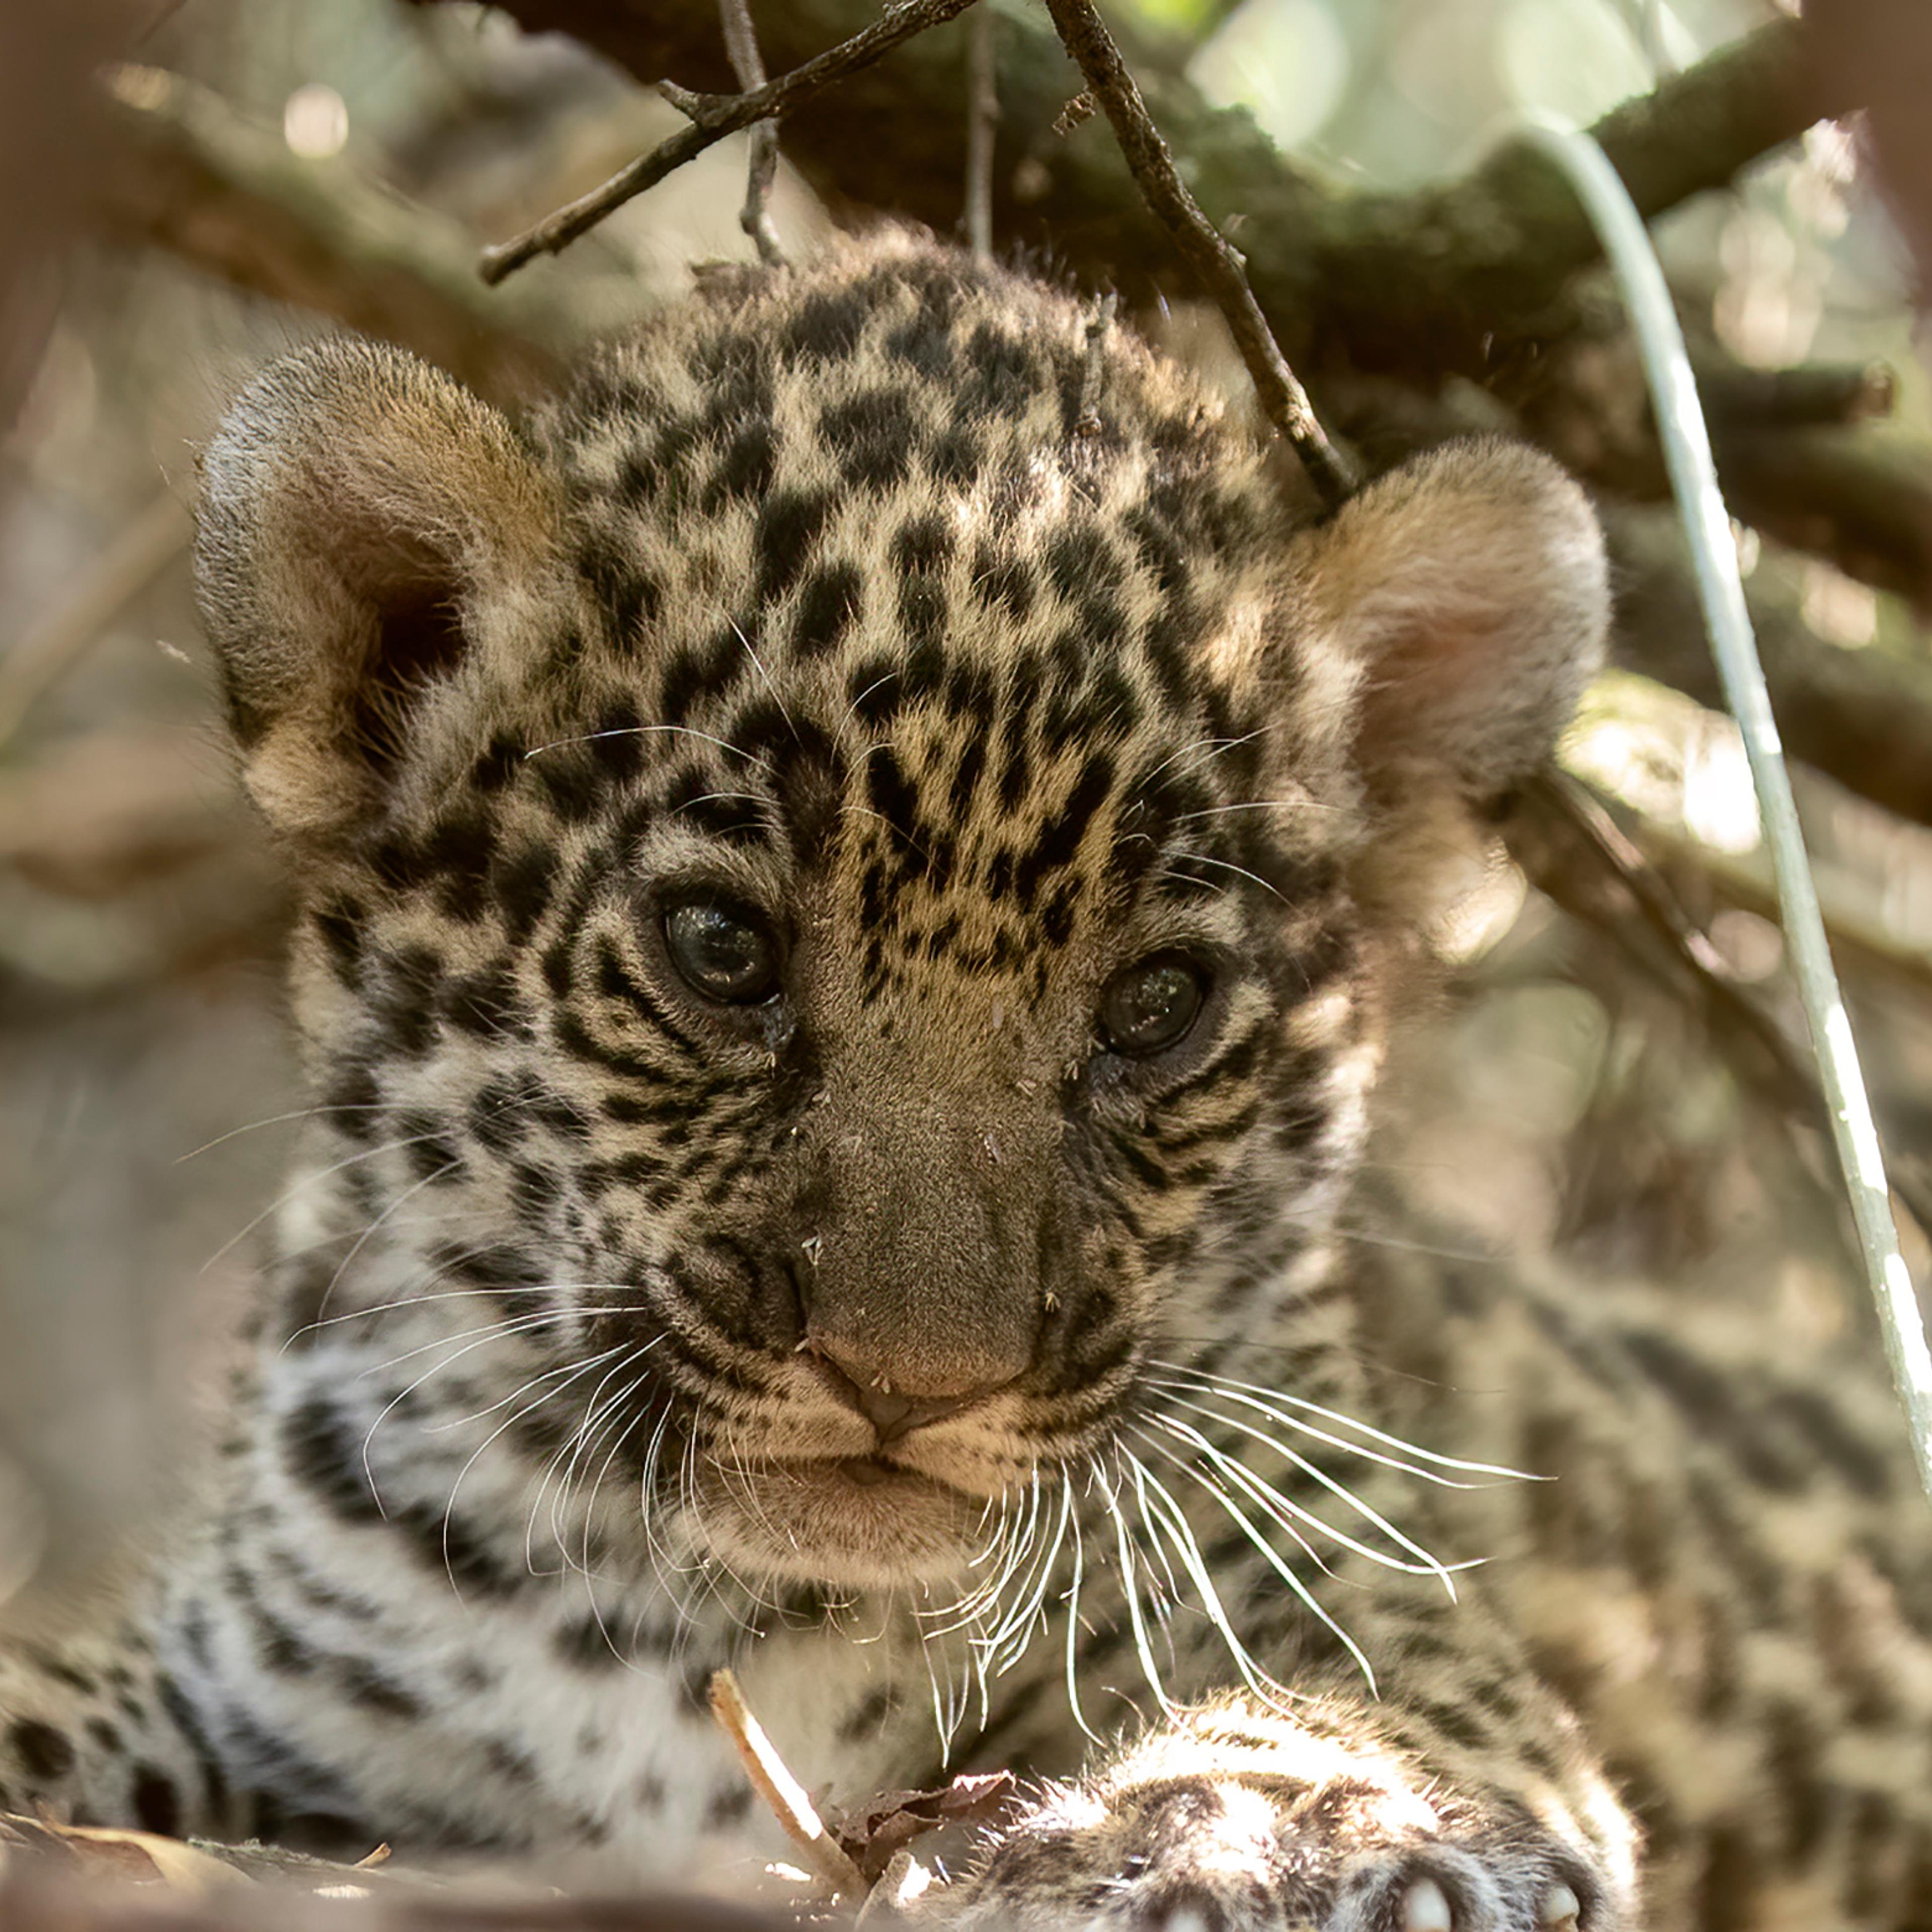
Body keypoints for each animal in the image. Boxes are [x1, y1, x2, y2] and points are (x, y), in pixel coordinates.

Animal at [4, 229, 1932, 1932]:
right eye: (720, 947)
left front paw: (1257, 1835)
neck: (696, 1633)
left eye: (1155, 1005)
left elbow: (1372, 1723)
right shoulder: (261, 1671)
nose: (909, 1386)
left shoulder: (1388, 1615)